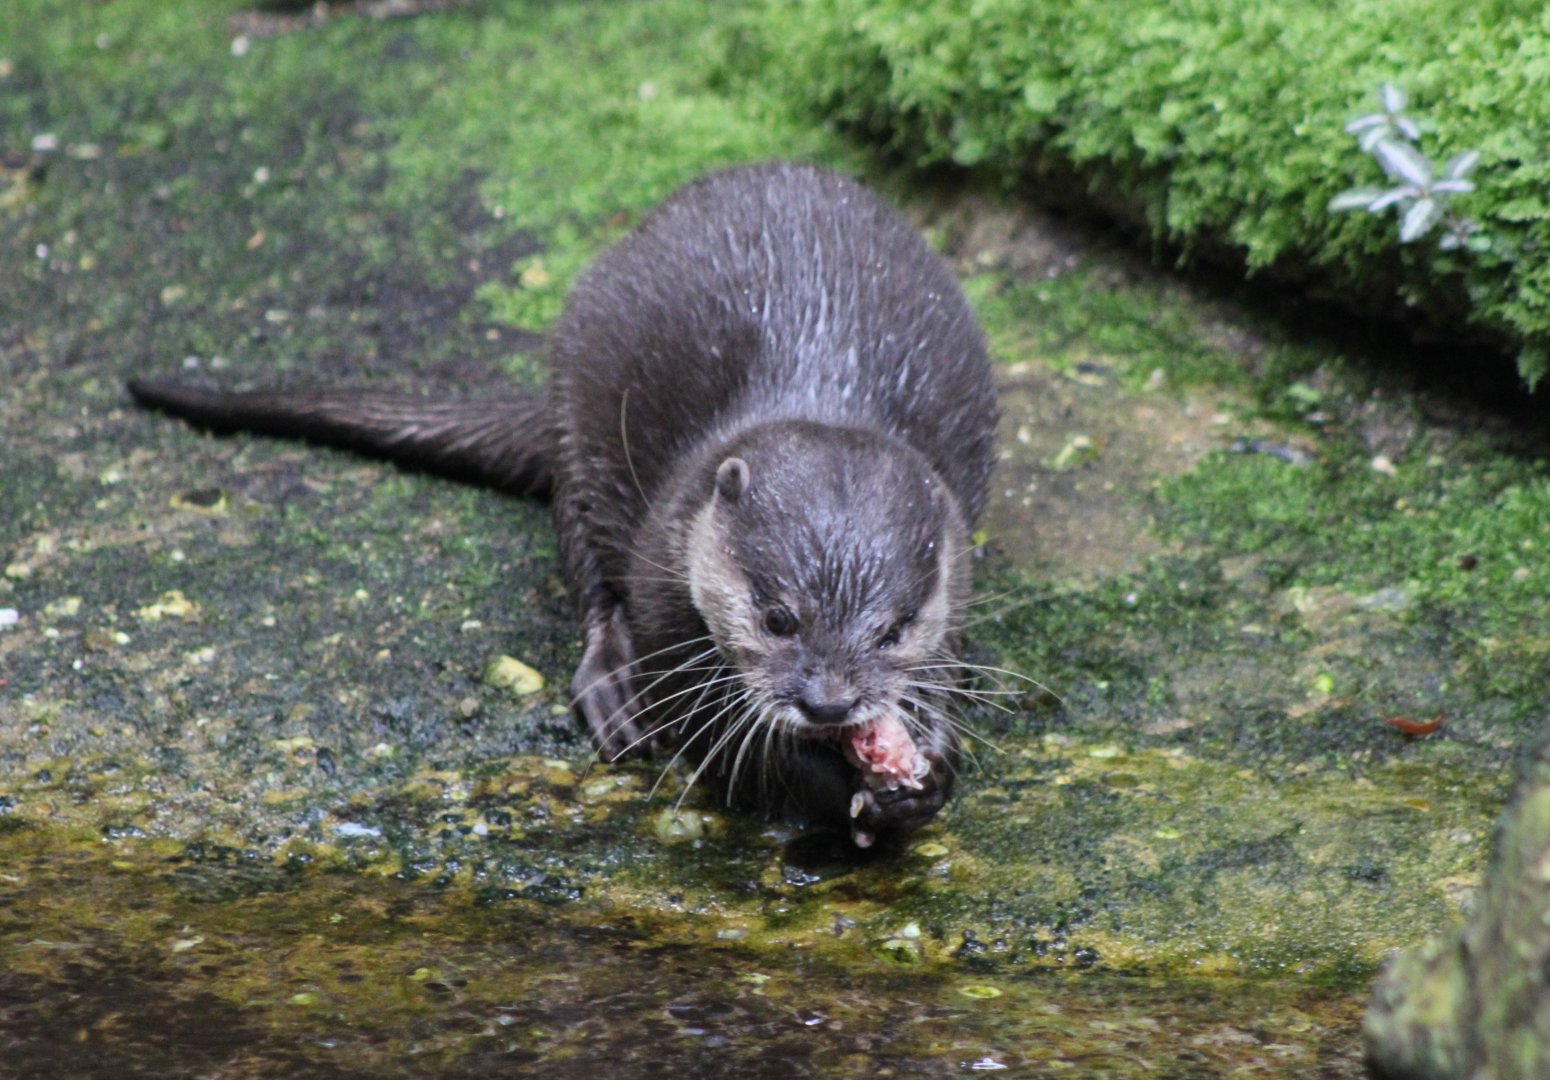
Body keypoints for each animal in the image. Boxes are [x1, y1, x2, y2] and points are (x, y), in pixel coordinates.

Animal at [129, 161, 999, 846]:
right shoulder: (665, 585)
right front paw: (831, 784)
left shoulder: (955, 589)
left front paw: (926, 770)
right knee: (586, 571)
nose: (828, 702)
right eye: (778, 616)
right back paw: (612, 689)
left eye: (892, 631)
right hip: (577, 423)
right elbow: (727, 744)